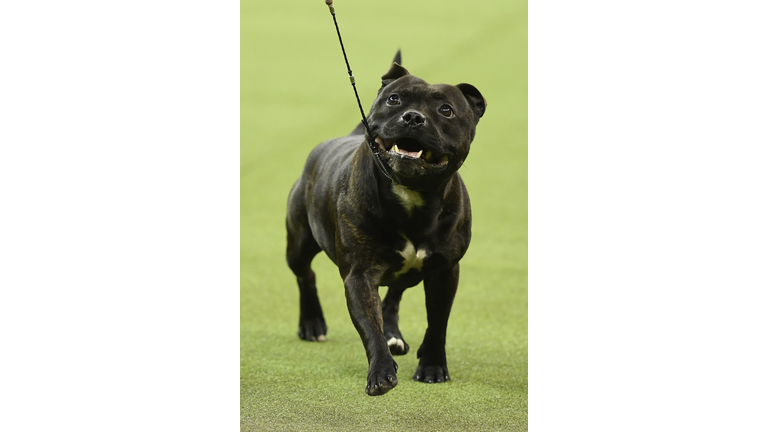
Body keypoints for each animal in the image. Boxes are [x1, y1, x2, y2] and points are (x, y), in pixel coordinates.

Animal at [284, 53, 488, 394]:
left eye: (446, 110)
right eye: (394, 99)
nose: (413, 117)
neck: (412, 196)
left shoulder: (445, 272)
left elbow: (437, 322)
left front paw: (432, 366)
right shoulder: (359, 274)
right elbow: (369, 325)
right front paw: (381, 371)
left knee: (393, 295)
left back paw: (393, 334)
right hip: (298, 244)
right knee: (305, 275)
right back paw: (312, 323)